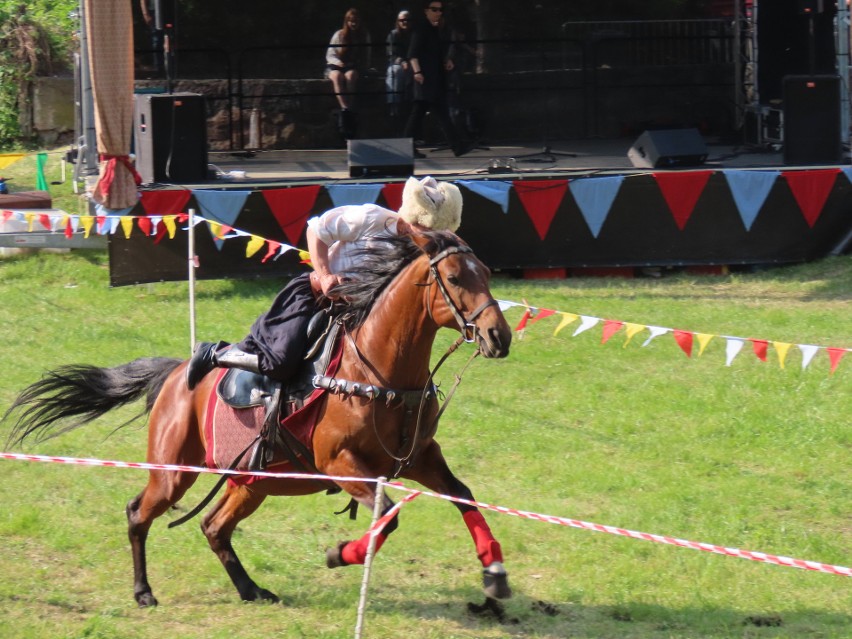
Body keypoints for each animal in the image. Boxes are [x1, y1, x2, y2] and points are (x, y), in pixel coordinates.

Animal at [1, 231, 512, 608]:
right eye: (453, 276)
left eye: (486, 273)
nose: (498, 336)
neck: (376, 371)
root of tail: (173, 375)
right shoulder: (340, 463)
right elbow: (386, 518)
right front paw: (337, 554)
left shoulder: (421, 456)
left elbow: (464, 497)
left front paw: (494, 576)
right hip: (172, 473)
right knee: (138, 513)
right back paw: (144, 592)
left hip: (252, 481)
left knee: (213, 527)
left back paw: (250, 589)